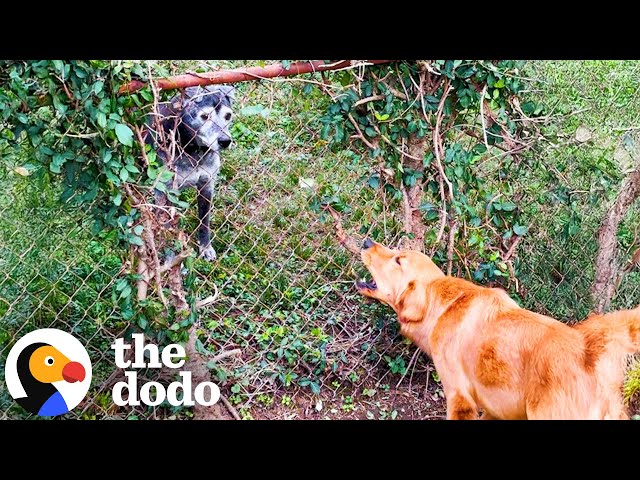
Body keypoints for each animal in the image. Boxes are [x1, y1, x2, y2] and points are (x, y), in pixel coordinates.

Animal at [151, 84, 236, 260]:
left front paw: (205, 248)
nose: (225, 141)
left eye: (228, 115)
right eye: (205, 116)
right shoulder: (163, 191)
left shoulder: (207, 184)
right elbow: (166, 224)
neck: (194, 149)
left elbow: (204, 221)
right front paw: (169, 253)